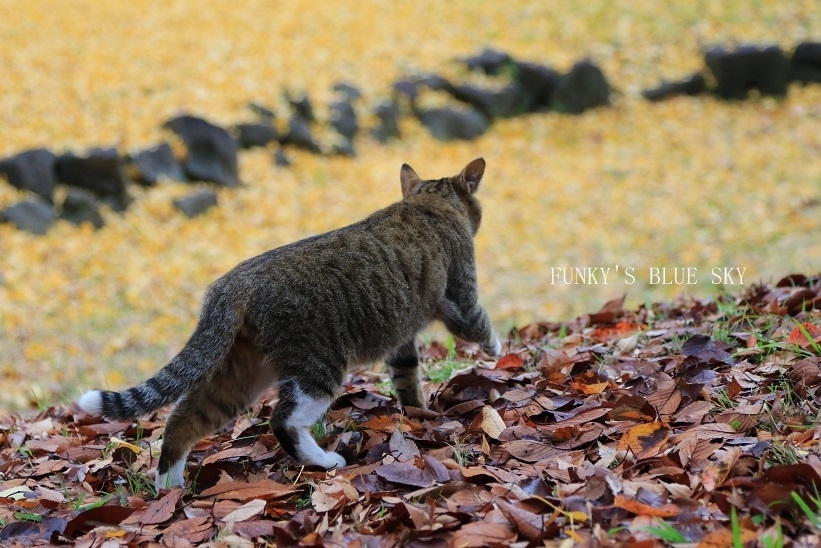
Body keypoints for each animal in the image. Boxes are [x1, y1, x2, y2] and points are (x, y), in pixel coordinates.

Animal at [78, 157, 500, 488]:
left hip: (241, 371)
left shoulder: (401, 337)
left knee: (184, 419)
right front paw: (495, 348)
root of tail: (233, 284)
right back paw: (325, 461)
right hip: (317, 363)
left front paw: (417, 412)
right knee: (282, 420)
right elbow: (478, 322)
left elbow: (407, 376)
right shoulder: (460, 296)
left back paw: (169, 486)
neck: (429, 203)